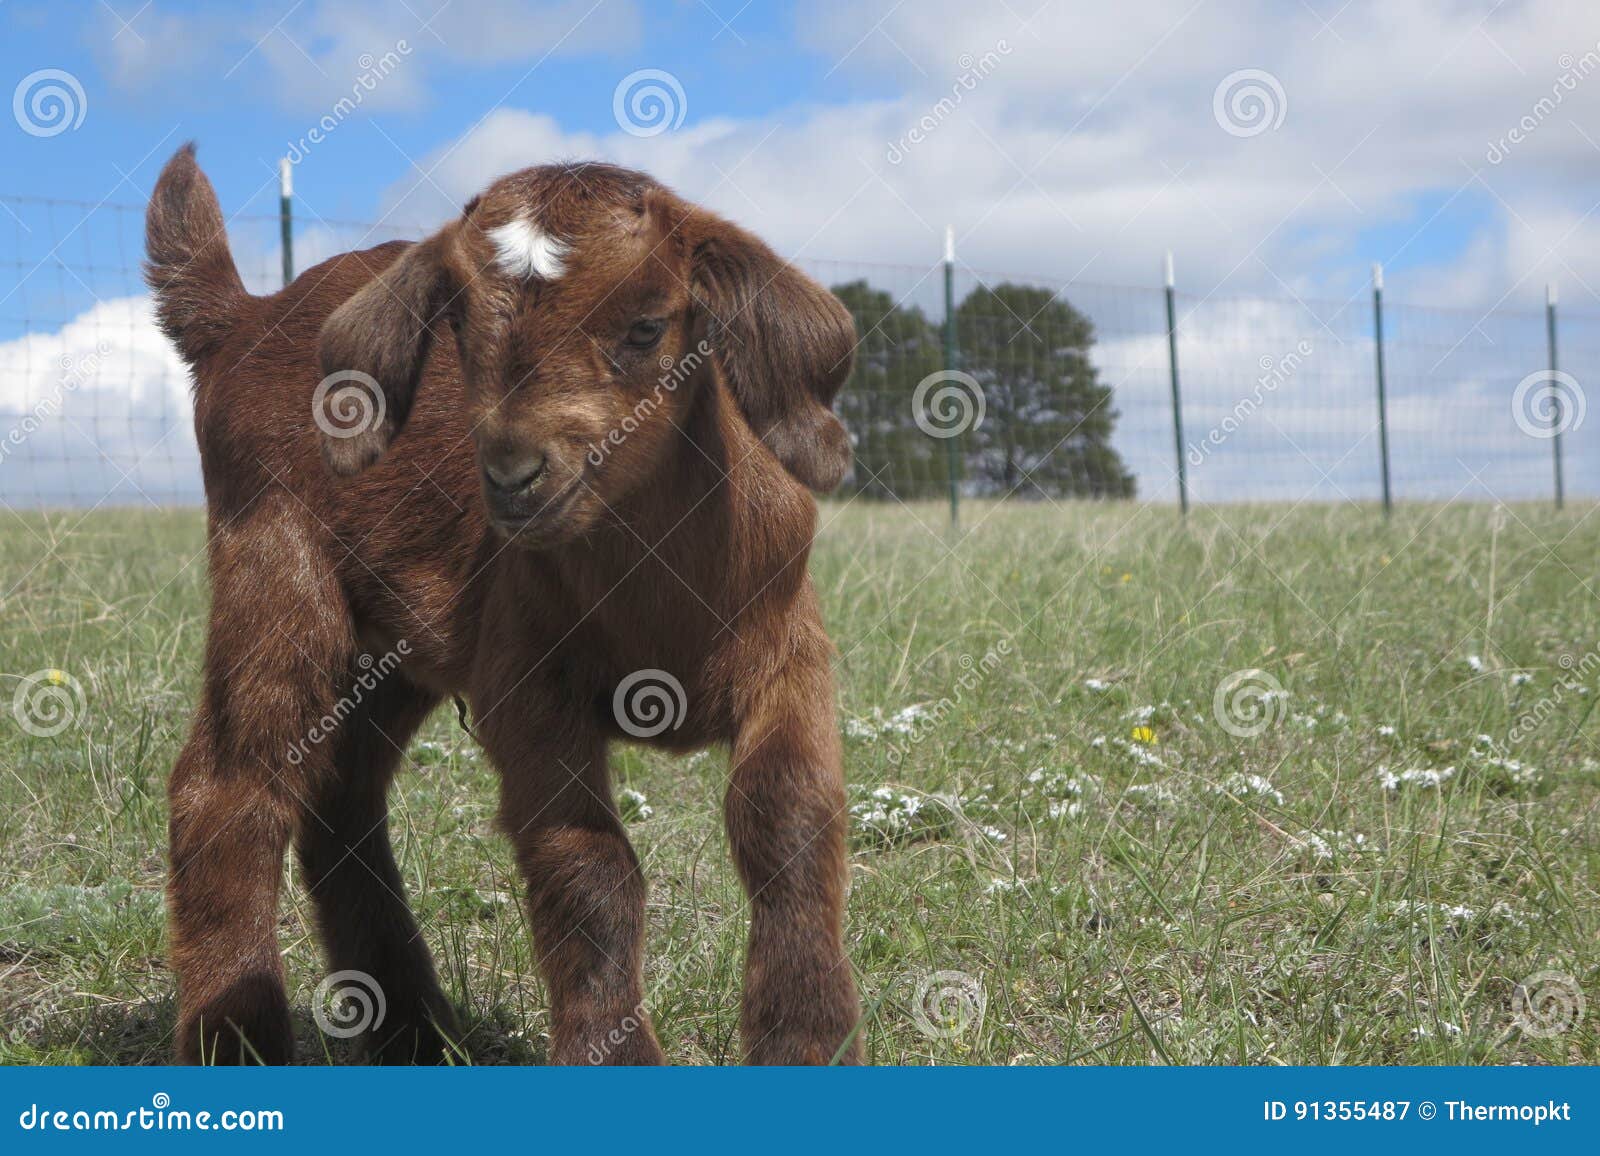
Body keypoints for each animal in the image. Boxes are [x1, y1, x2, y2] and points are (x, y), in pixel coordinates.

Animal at [144, 144, 862, 1065]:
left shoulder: (790, 647)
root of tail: (237, 320)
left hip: (392, 653)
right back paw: (239, 1038)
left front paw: (807, 1037)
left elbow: (787, 816)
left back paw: (414, 1031)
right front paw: (615, 1058)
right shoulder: (524, 683)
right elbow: (590, 865)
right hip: (274, 570)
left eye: (646, 326)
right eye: (459, 327)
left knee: (341, 800)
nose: (513, 475)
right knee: (229, 788)